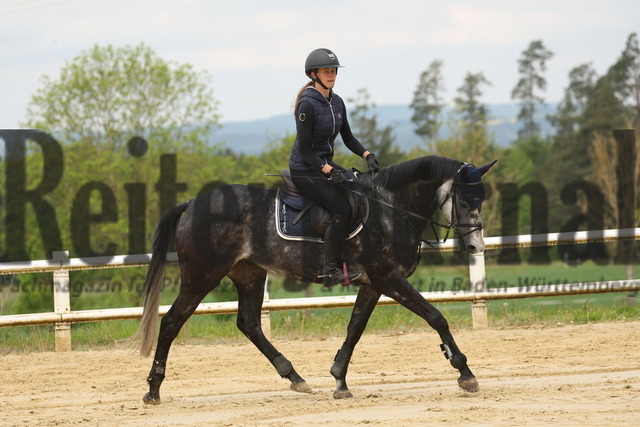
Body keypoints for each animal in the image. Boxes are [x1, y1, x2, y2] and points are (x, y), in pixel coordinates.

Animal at [134, 155, 496, 404]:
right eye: (465, 201)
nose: (476, 247)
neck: (391, 210)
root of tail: (193, 204)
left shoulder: (373, 284)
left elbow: (355, 329)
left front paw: (339, 381)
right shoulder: (388, 278)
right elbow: (436, 317)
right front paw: (465, 373)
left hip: (249, 273)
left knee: (249, 323)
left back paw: (294, 376)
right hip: (201, 275)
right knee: (171, 322)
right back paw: (153, 389)